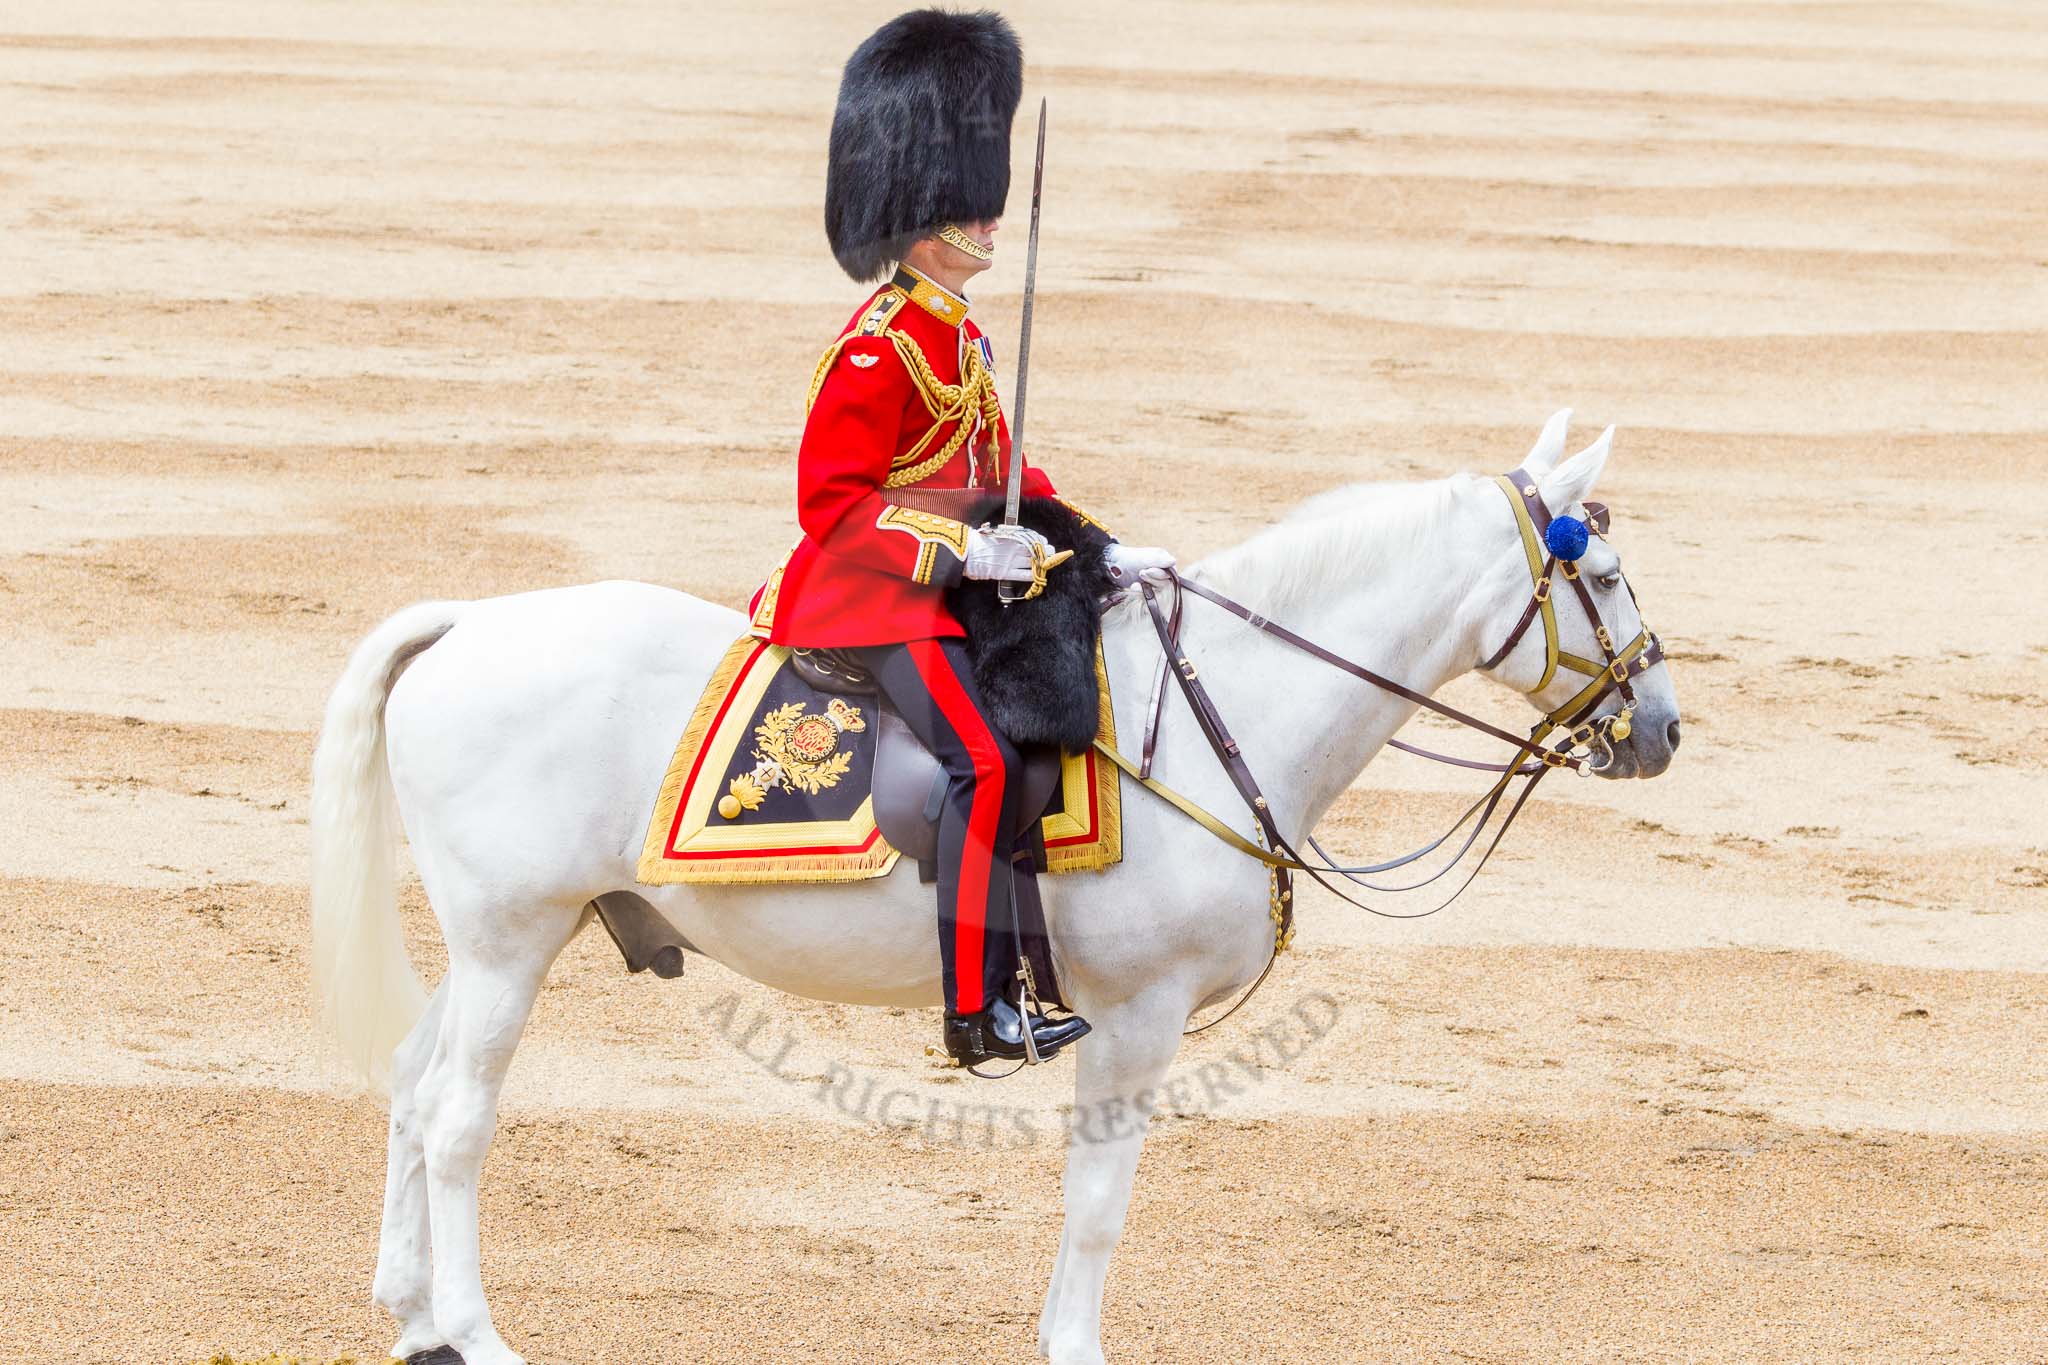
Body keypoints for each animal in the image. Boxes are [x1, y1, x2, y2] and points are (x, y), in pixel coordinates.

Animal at [303, 411, 1679, 1358]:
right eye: (1602, 577)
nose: (1661, 727)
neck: (1226, 706)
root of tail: (471, 621)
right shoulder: (1135, 1016)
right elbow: (1098, 1203)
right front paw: (1073, 1345)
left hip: (502, 942)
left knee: (415, 1084)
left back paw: (411, 1313)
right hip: (510, 942)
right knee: (457, 1119)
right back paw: (474, 1332)